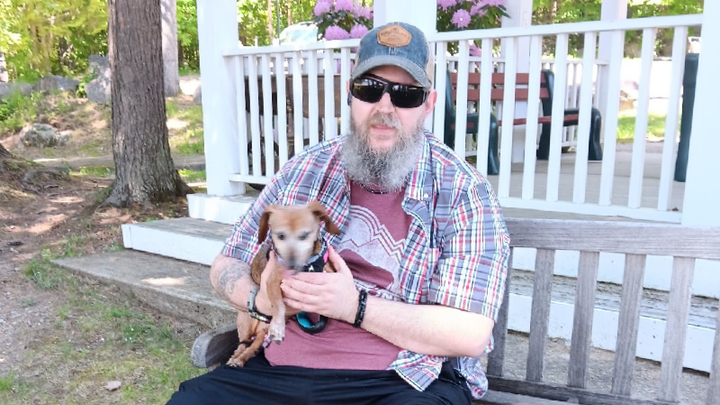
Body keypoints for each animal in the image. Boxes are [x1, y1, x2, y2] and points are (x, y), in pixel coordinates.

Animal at [226, 201, 341, 367]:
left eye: (304, 235)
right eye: (280, 235)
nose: (291, 265)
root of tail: (258, 328)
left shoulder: (328, 272)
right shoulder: (272, 282)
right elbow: (279, 304)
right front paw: (278, 328)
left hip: (261, 334)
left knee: (252, 347)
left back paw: (241, 359)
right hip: (245, 321)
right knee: (242, 344)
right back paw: (235, 358)